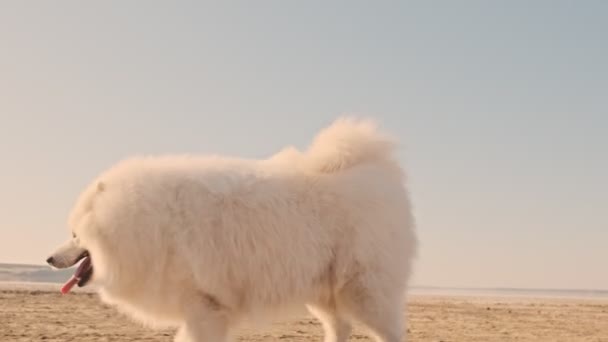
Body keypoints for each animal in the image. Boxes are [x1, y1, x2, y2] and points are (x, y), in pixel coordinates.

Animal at [46, 118, 418, 342]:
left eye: (75, 235)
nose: (49, 258)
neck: (149, 223)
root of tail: (378, 170)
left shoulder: (205, 306)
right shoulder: (199, 308)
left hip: (364, 290)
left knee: (388, 332)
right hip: (324, 291)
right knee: (340, 326)